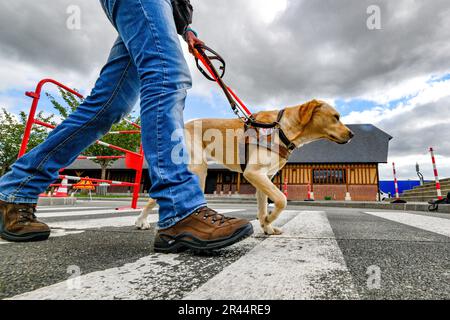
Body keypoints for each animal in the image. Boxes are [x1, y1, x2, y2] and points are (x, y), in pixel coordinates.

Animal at [135, 100, 354, 235]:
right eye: (336, 117)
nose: (352, 134)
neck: (281, 128)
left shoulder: (264, 178)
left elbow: (263, 205)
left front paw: (267, 227)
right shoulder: (253, 173)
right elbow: (281, 200)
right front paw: (269, 219)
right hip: (197, 169)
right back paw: (146, 221)